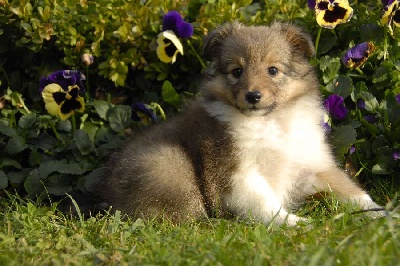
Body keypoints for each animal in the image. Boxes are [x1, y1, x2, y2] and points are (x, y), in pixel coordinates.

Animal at [94, 22, 384, 225]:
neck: (270, 122)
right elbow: (266, 205)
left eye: (273, 70)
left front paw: (381, 213)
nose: (253, 96)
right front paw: (298, 223)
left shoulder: (312, 164)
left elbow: (350, 190)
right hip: (169, 164)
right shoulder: (236, 174)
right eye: (236, 71)